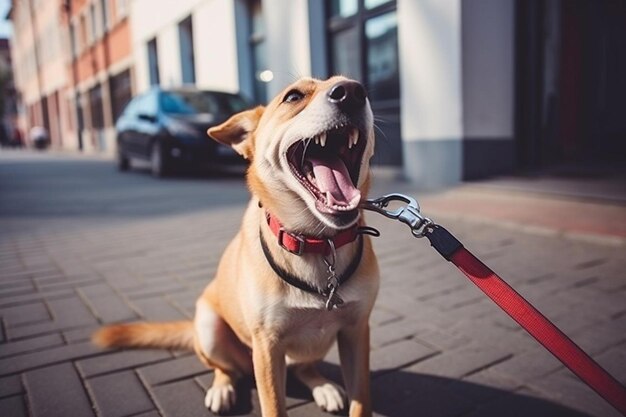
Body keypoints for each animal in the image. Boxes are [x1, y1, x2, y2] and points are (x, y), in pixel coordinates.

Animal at [90, 75, 378, 416]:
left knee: (303, 367)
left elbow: (361, 402)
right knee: (226, 369)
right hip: (210, 330)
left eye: (357, 87)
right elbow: (273, 406)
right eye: (293, 96)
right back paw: (222, 389)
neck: (319, 242)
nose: (352, 91)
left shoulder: (357, 332)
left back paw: (322, 386)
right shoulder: (267, 345)